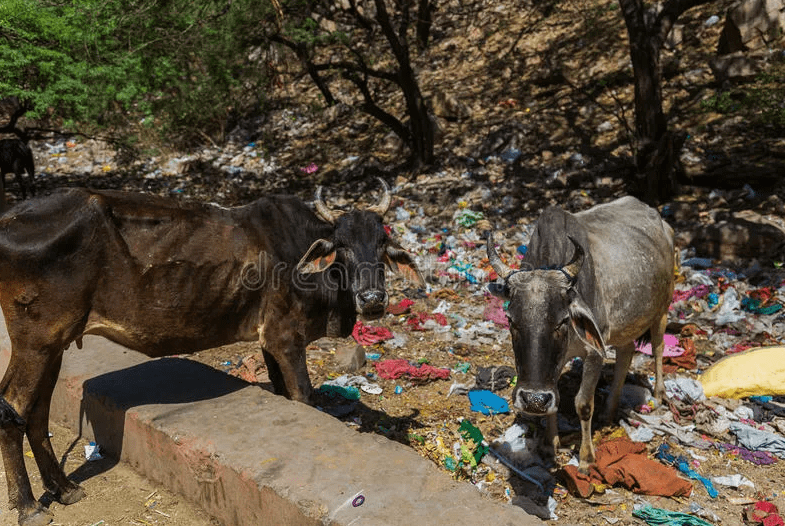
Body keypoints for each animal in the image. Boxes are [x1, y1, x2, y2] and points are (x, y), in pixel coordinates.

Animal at [0, 180, 422, 526]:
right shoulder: (286, 338)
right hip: (36, 342)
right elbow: (303, 398)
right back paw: (29, 507)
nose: (373, 300)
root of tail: (7, 218)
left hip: (53, 344)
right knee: (14, 409)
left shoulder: (268, 343)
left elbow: (283, 393)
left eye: (381, 244)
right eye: (343, 247)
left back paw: (64, 489)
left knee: (36, 413)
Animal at [484, 197, 672, 474]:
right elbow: (555, 400)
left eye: (563, 320)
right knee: (626, 355)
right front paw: (549, 445)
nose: (533, 400)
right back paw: (609, 411)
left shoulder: (593, 353)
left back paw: (658, 394)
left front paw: (586, 457)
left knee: (658, 347)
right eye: (510, 320)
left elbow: (583, 403)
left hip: (662, 310)